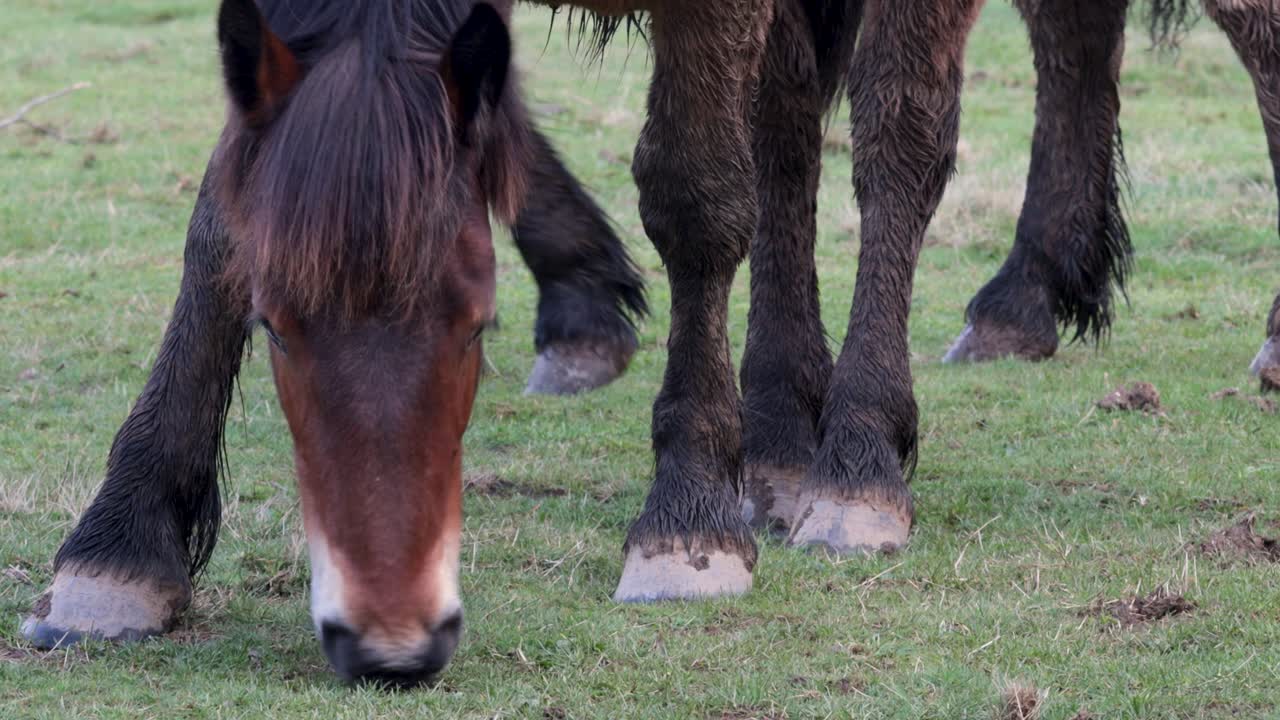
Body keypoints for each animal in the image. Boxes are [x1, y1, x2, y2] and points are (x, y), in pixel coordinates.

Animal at [22, 0, 985, 686]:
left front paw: (687, 516)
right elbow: (223, 221)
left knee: (897, 133)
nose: (391, 646)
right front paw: (121, 542)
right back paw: (782, 435)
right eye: (275, 327)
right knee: (789, 123)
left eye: (477, 324)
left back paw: (858, 460)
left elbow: (697, 198)